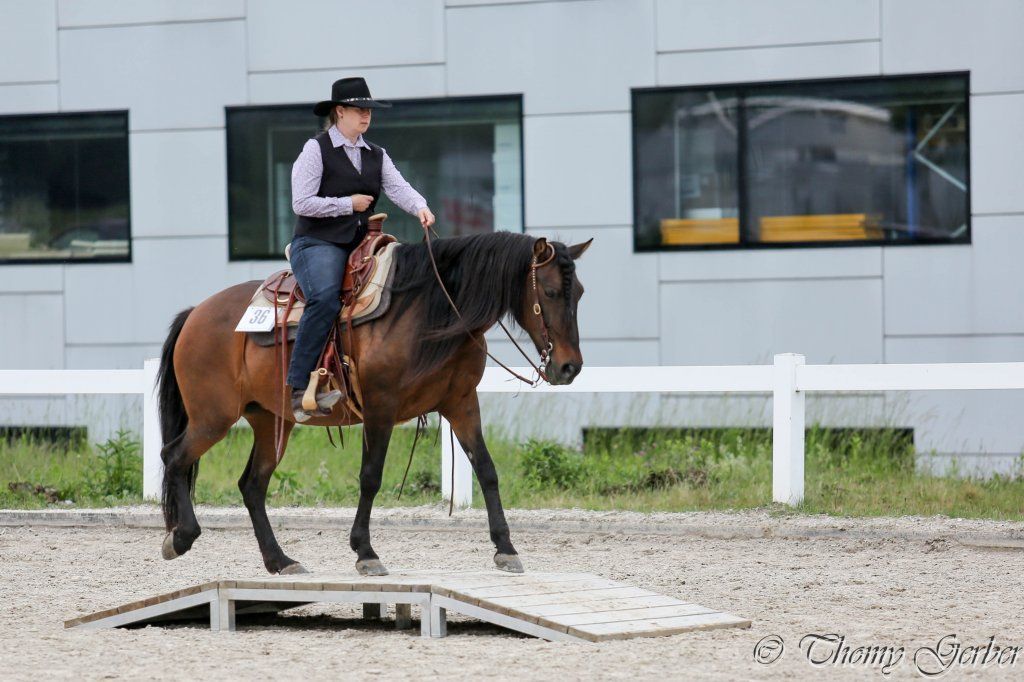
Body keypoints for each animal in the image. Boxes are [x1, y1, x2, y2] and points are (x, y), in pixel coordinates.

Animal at [157, 231, 591, 576]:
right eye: (550, 292)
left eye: (580, 293)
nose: (569, 367)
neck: (430, 312)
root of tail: (196, 313)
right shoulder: (381, 408)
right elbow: (371, 476)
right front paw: (365, 552)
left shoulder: (462, 404)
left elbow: (486, 470)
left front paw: (506, 548)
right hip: (213, 417)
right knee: (173, 457)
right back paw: (181, 538)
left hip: (269, 421)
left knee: (251, 485)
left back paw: (280, 561)